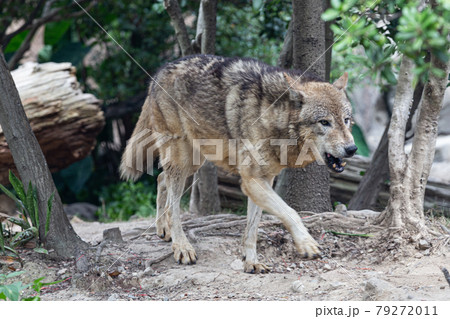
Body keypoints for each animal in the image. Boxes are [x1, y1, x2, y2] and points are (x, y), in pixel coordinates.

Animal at [118, 54, 356, 272]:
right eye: (324, 122)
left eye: (346, 121)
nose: (352, 149)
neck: (273, 118)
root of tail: (158, 73)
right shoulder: (251, 180)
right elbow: (291, 213)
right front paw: (306, 243)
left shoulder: (264, 180)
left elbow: (252, 228)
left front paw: (251, 262)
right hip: (183, 158)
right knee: (173, 204)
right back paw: (182, 247)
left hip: (194, 161)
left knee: (161, 179)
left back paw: (163, 229)